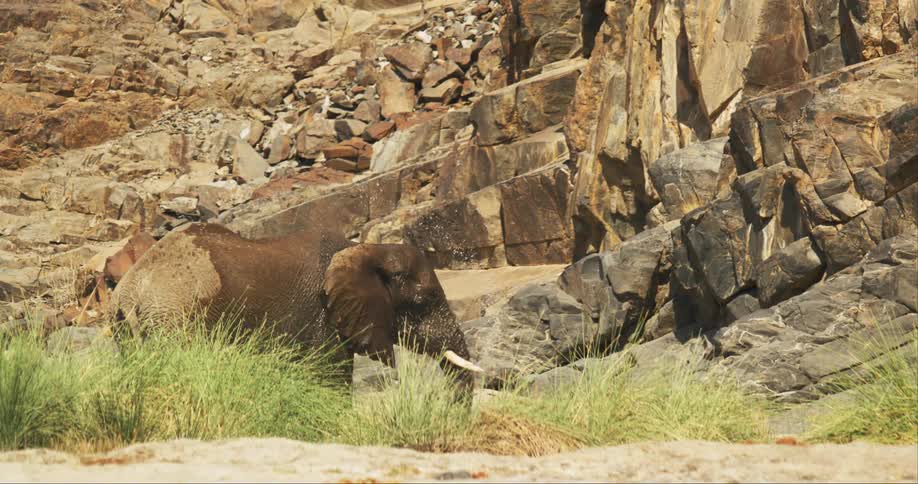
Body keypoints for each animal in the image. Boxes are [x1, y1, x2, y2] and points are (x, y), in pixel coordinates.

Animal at [110, 222, 482, 388]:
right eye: (422, 301)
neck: (364, 250)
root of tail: (132, 288)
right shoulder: (325, 318)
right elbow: (330, 380)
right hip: (175, 320)